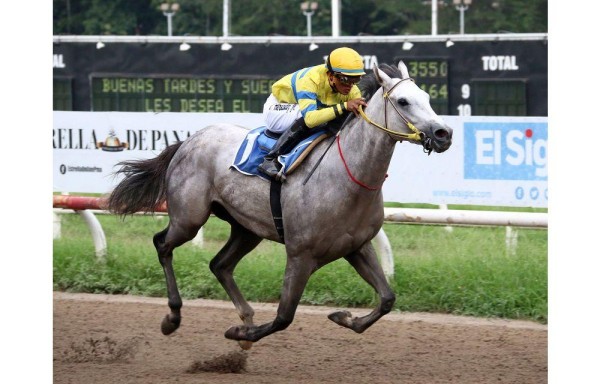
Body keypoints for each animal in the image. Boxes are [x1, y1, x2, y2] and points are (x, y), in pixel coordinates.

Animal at [109, 62, 454, 348]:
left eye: (426, 96)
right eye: (404, 101)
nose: (444, 133)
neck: (346, 176)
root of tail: (189, 140)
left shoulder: (357, 246)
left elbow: (387, 298)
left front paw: (343, 317)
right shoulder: (300, 254)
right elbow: (283, 317)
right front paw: (240, 334)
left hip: (246, 227)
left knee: (220, 265)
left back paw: (245, 316)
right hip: (189, 217)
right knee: (162, 244)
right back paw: (174, 317)